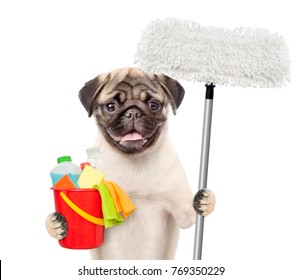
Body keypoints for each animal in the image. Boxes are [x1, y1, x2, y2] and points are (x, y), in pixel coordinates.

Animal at [45, 66, 214, 260]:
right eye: (111, 107)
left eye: (153, 105)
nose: (133, 112)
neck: (133, 162)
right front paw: (55, 224)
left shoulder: (182, 211)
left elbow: (192, 213)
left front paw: (206, 200)